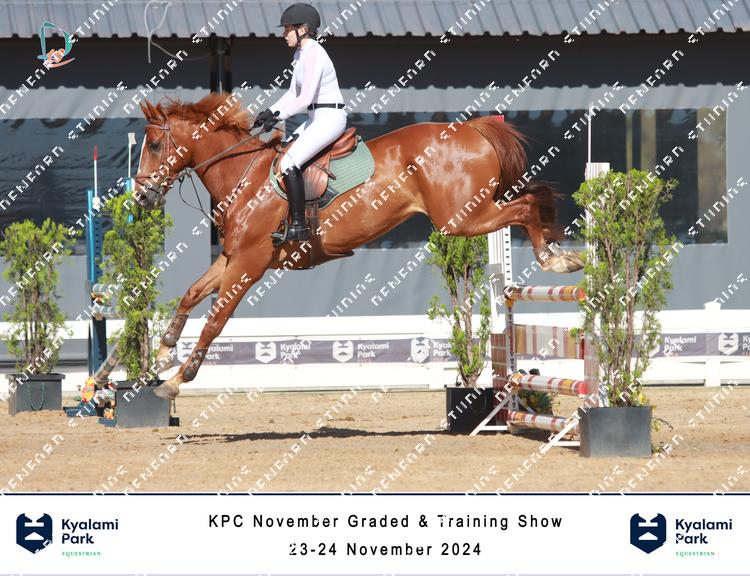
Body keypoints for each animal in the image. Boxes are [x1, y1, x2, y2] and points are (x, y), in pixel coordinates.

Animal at [132, 94, 582, 400]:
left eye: (153, 146)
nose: (141, 197)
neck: (243, 175)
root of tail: (473, 127)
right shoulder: (231, 258)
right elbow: (191, 294)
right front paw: (164, 353)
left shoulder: (249, 264)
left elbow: (215, 320)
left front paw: (176, 381)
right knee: (530, 203)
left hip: (462, 219)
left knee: (527, 207)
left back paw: (555, 258)